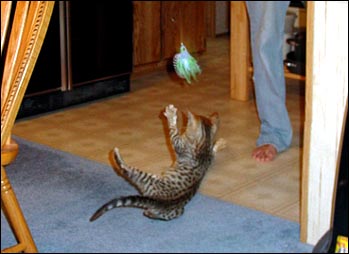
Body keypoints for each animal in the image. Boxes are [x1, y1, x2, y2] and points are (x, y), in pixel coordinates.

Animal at [89, 104, 224, 221]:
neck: (203, 145)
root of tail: (159, 200)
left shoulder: (178, 144)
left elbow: (172, 131)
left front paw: (171, 115)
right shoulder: (209, 156)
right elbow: (213, 150)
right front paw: (220, 143)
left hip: (145, 177)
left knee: (124, 169)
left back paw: (115, 153)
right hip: (177, 212)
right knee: (152, 214)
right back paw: (149, 212)